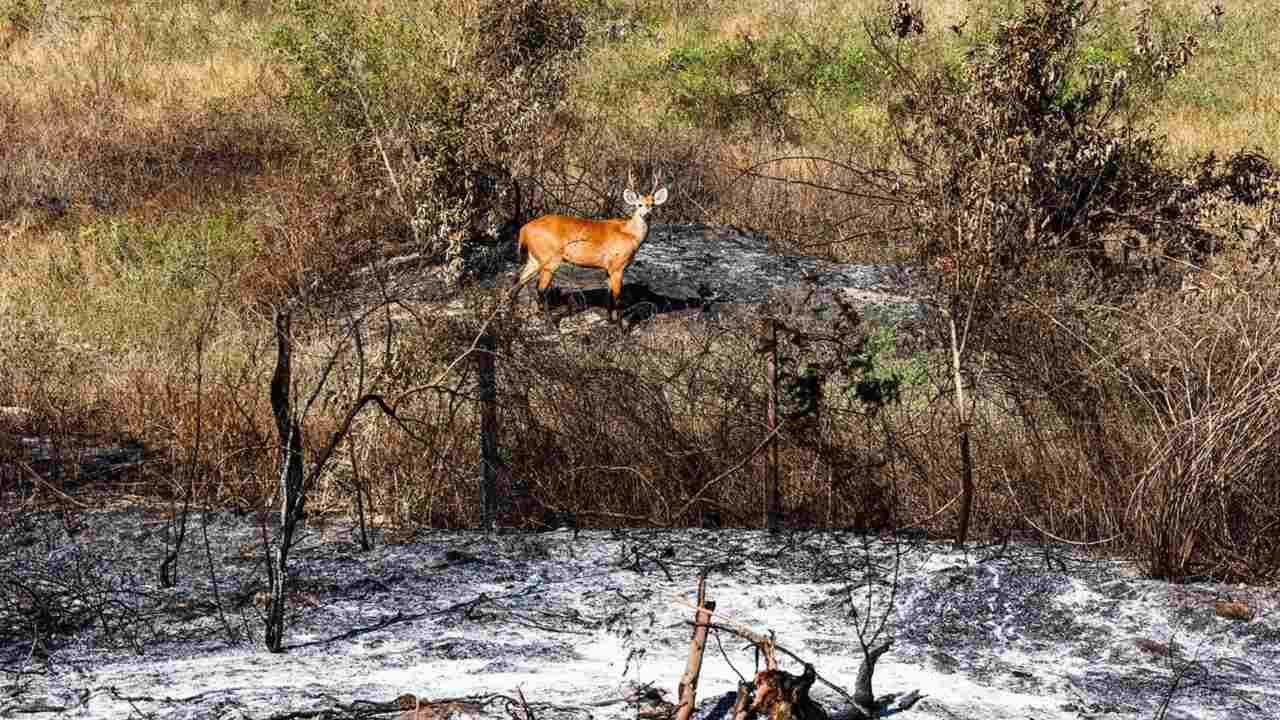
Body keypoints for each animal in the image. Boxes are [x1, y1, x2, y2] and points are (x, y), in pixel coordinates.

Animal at [509, 174, 670, 322]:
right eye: (639, 204)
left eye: (653, 204)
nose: (647, 215)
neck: (629, 234)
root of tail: (524, 229)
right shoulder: (617, 265)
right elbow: (617, 298)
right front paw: (619, 327)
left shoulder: (607, 268)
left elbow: (609, 296)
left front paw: (609, 321)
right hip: (550, 258)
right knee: (540, 289)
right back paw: (548, 321)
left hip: (534, 257)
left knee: (518, 283)